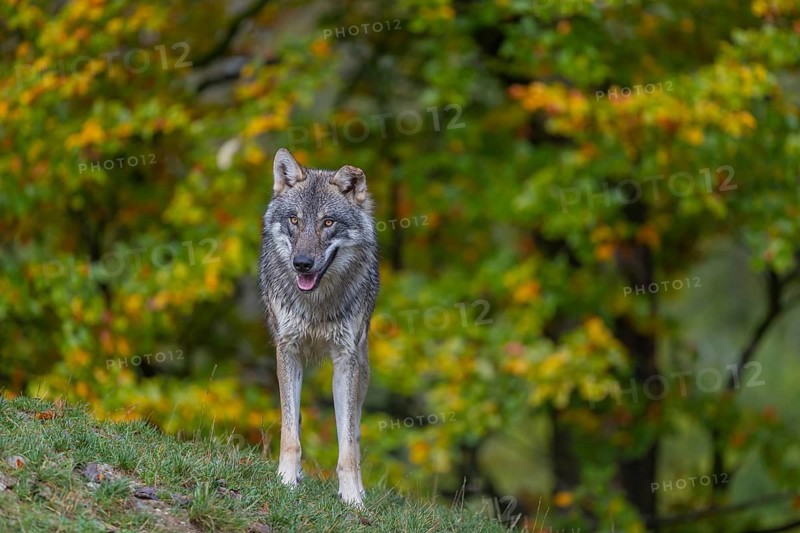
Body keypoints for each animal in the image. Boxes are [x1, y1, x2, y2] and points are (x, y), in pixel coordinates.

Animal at [258, 148, 379, 507]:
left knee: (355, 432)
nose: (302, 264)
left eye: (328, 222)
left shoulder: (345, 360)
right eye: (295, 220)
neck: (316, 305)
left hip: (363, 369)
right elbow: (290, 432)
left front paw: (352, 497)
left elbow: (347, 445)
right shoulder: (288, 351)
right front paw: (286, 480)